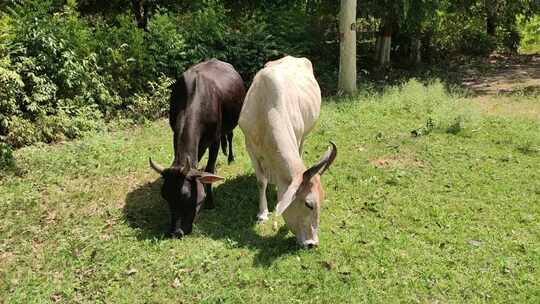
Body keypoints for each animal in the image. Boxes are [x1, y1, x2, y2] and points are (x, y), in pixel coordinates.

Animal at [148, 58, 245, 236]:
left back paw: (230, 157)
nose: (175, 232)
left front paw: (210, 202)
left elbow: (209, 169)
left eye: (186, 196)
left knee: (229, 135)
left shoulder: (214, 140)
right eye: (164, 196)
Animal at [238, 56, 336, 247]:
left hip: (303, 136)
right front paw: (262, 214)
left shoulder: (296, 137)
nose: (312, 243)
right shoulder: (250, 147)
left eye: (322, 200)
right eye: (309, 204)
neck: (265, 106)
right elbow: (261, 181)